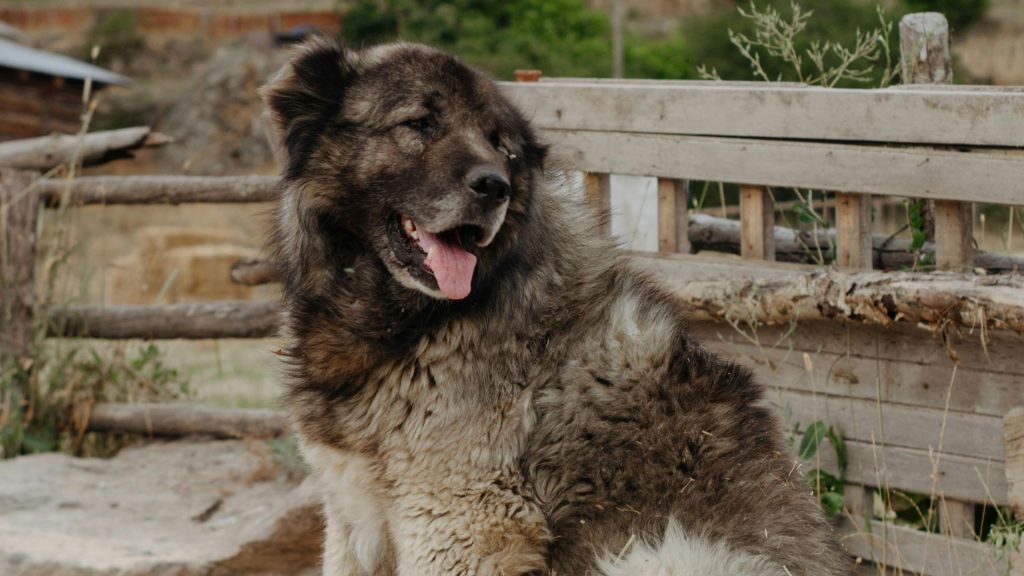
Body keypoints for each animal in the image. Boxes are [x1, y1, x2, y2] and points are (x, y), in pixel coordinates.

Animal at [262, 39, 847, 573]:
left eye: (501, 146)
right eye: (419, 123)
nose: (494, 186)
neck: (421, 329)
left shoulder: (461, 523)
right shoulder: (353, 517)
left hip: (660, 551)